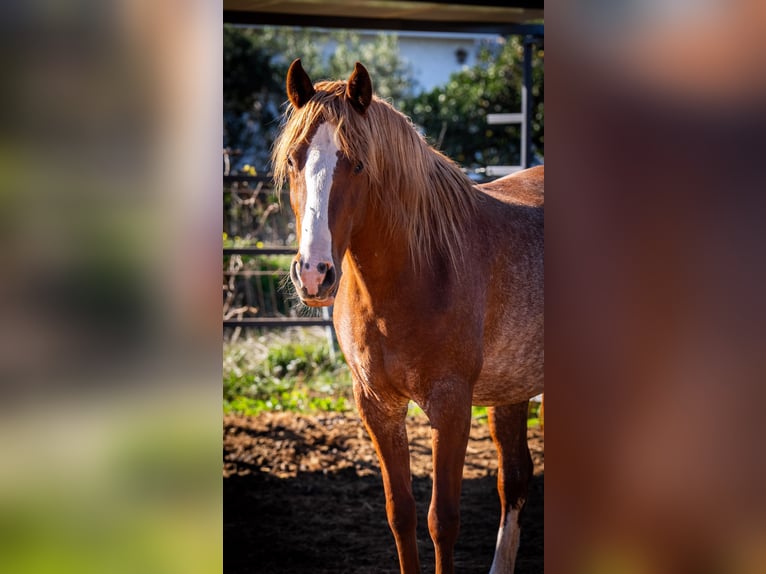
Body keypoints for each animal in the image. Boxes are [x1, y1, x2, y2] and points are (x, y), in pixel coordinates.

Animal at [273, 59, 544, 574]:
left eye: (358, 164)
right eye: (295, 161)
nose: (314, 275)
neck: (420, 270)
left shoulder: (451, 407)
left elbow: (443, 519)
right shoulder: (377, 406)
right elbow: (401, 513)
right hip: (512, 391)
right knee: (515, 479)